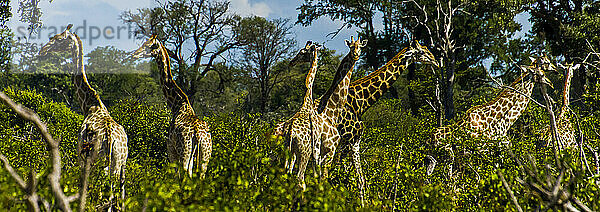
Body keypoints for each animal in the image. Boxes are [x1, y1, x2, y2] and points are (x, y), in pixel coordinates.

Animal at [39, 24, 129, 210]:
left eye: (58, 39)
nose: (42, 51)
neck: (90, 105)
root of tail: (110, 137)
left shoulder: (81, 159)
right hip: (119, 163)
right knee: (118, 195)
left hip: (101, 162)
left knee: (106, 194)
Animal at [132, 35, 212, 179]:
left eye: (148, 45)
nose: (134, 54)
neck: (177, 105)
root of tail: (198, 134)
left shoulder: (171, 150)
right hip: (205, 155)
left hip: (184, 152)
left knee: (185, 174)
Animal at [282, 40, 324, 189]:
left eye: (301, 53)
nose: (291, 62)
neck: (307, 102)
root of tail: (291, 132)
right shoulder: (316, 146)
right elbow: (317, 174)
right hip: (304, 151)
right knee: (300, 178)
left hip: (288, 149)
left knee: (286, 173)